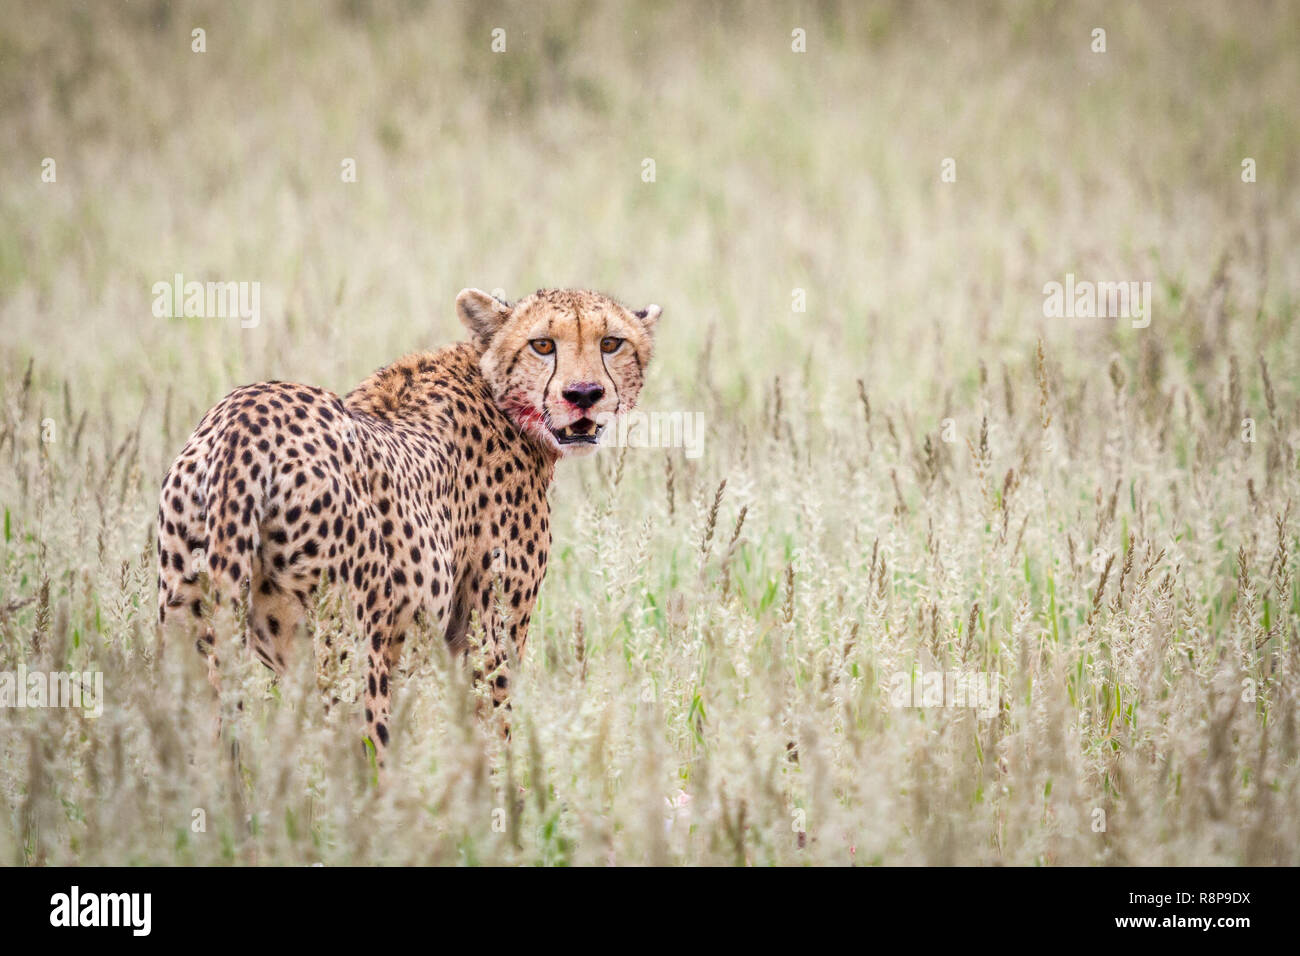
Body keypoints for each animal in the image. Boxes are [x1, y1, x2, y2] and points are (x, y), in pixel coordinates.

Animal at [154, 287, 660, 764]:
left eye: (610, 343)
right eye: (542, 345)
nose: (584, 394)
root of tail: (244, 417)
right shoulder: (488, 637)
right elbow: (494, 736)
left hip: (193, 643)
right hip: (352, 662)